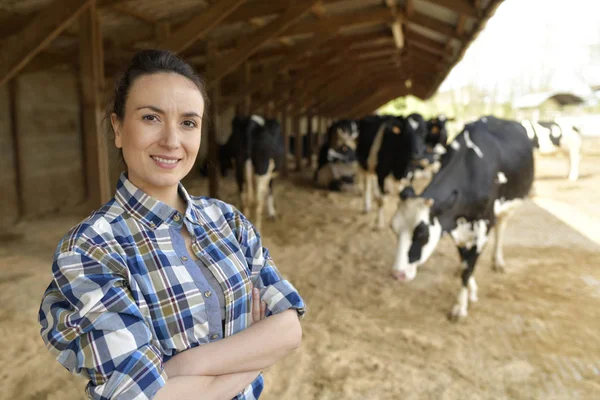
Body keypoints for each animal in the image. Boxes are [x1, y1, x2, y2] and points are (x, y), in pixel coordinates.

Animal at [390, 115, 536, 318]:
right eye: (394, 229)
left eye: (422, 234)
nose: (398, 274)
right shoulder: (455, 225)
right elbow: (465, 260)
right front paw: (471, 290)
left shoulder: (483, 227)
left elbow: (468, 268)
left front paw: (460, 307)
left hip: (511, 204)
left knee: (501, 228)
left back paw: (498, 261)